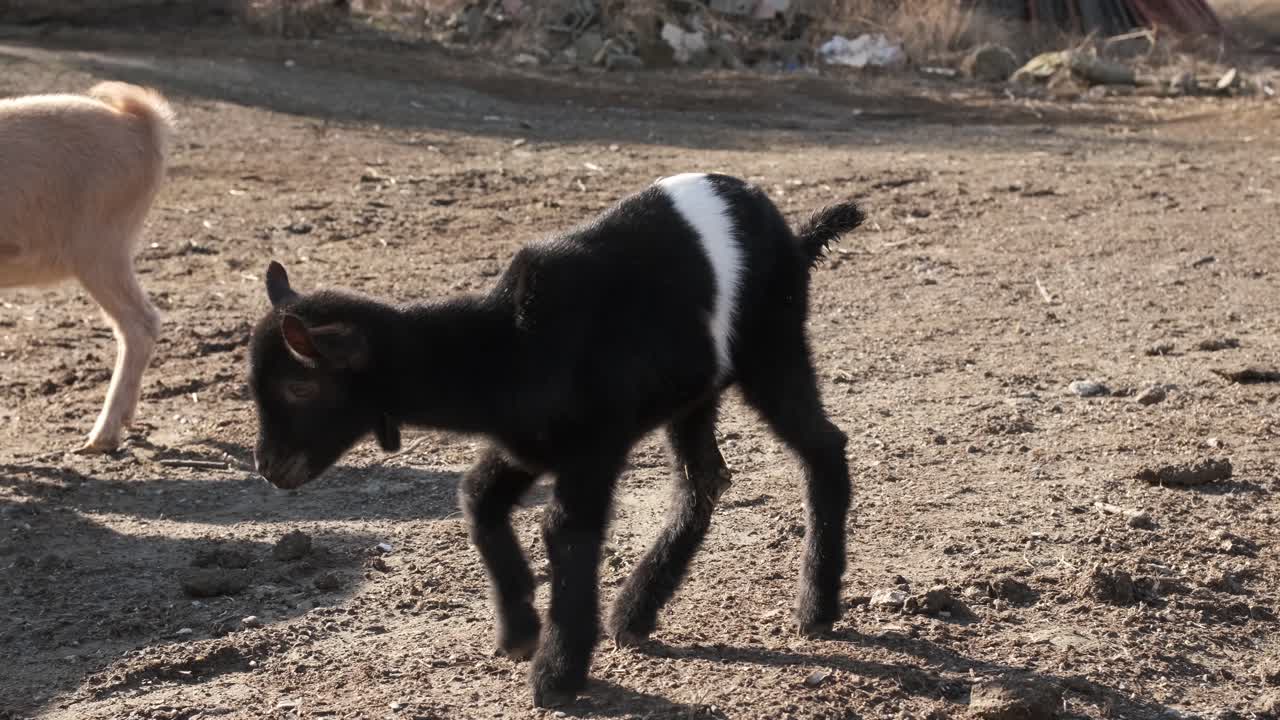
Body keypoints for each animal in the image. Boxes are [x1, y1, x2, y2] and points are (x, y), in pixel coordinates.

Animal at [247, 173, 864, 707]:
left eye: (299, 386)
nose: (268, 466)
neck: (512, 343)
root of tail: (792, 237)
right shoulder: (527, 444)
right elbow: (477, 497)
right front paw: (520, 631)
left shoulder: (593, 448)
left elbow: (567, 531)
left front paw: (557, 676)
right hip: (696, 389)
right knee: (704, 477)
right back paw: (635, 613)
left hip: (773, 343)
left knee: (822, 446)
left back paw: (816, 607)